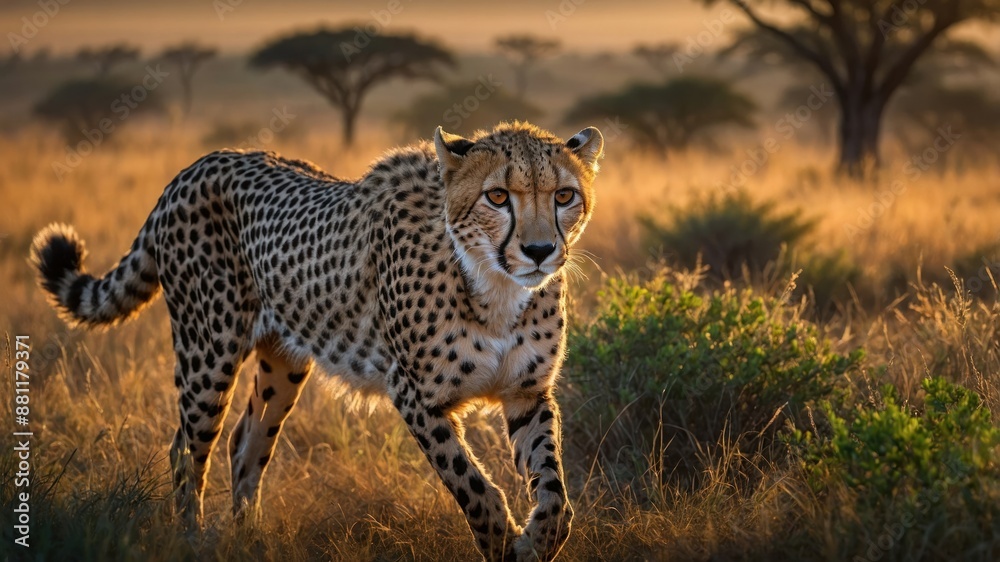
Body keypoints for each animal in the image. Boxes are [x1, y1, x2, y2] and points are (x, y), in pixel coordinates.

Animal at [30, 121, 604, 561]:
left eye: (564, 196)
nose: (539, 250)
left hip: (283, 361)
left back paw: (251, 540)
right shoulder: (414, 394)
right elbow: (474, 486)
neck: (495, 287)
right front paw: (503, 543)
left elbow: (554, 489)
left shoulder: (527, 393)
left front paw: (538, 539)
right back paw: (191, 539)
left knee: (246, 442)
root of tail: (197, 165)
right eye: (498, 197)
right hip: (208, 348)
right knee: (187, 449)